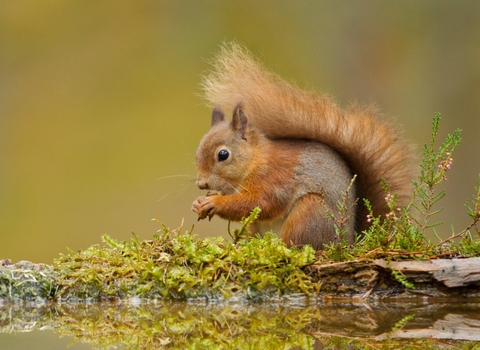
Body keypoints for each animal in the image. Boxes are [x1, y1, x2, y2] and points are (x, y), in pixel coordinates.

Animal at [191, 43, 416, 250]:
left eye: (223, 155)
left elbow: (260, 203)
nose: (201, 184)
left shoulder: (276, 179)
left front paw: (214, 202)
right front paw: (199, 203)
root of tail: (348, 243)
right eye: (196, 155)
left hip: (310, 213)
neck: (255, 161)